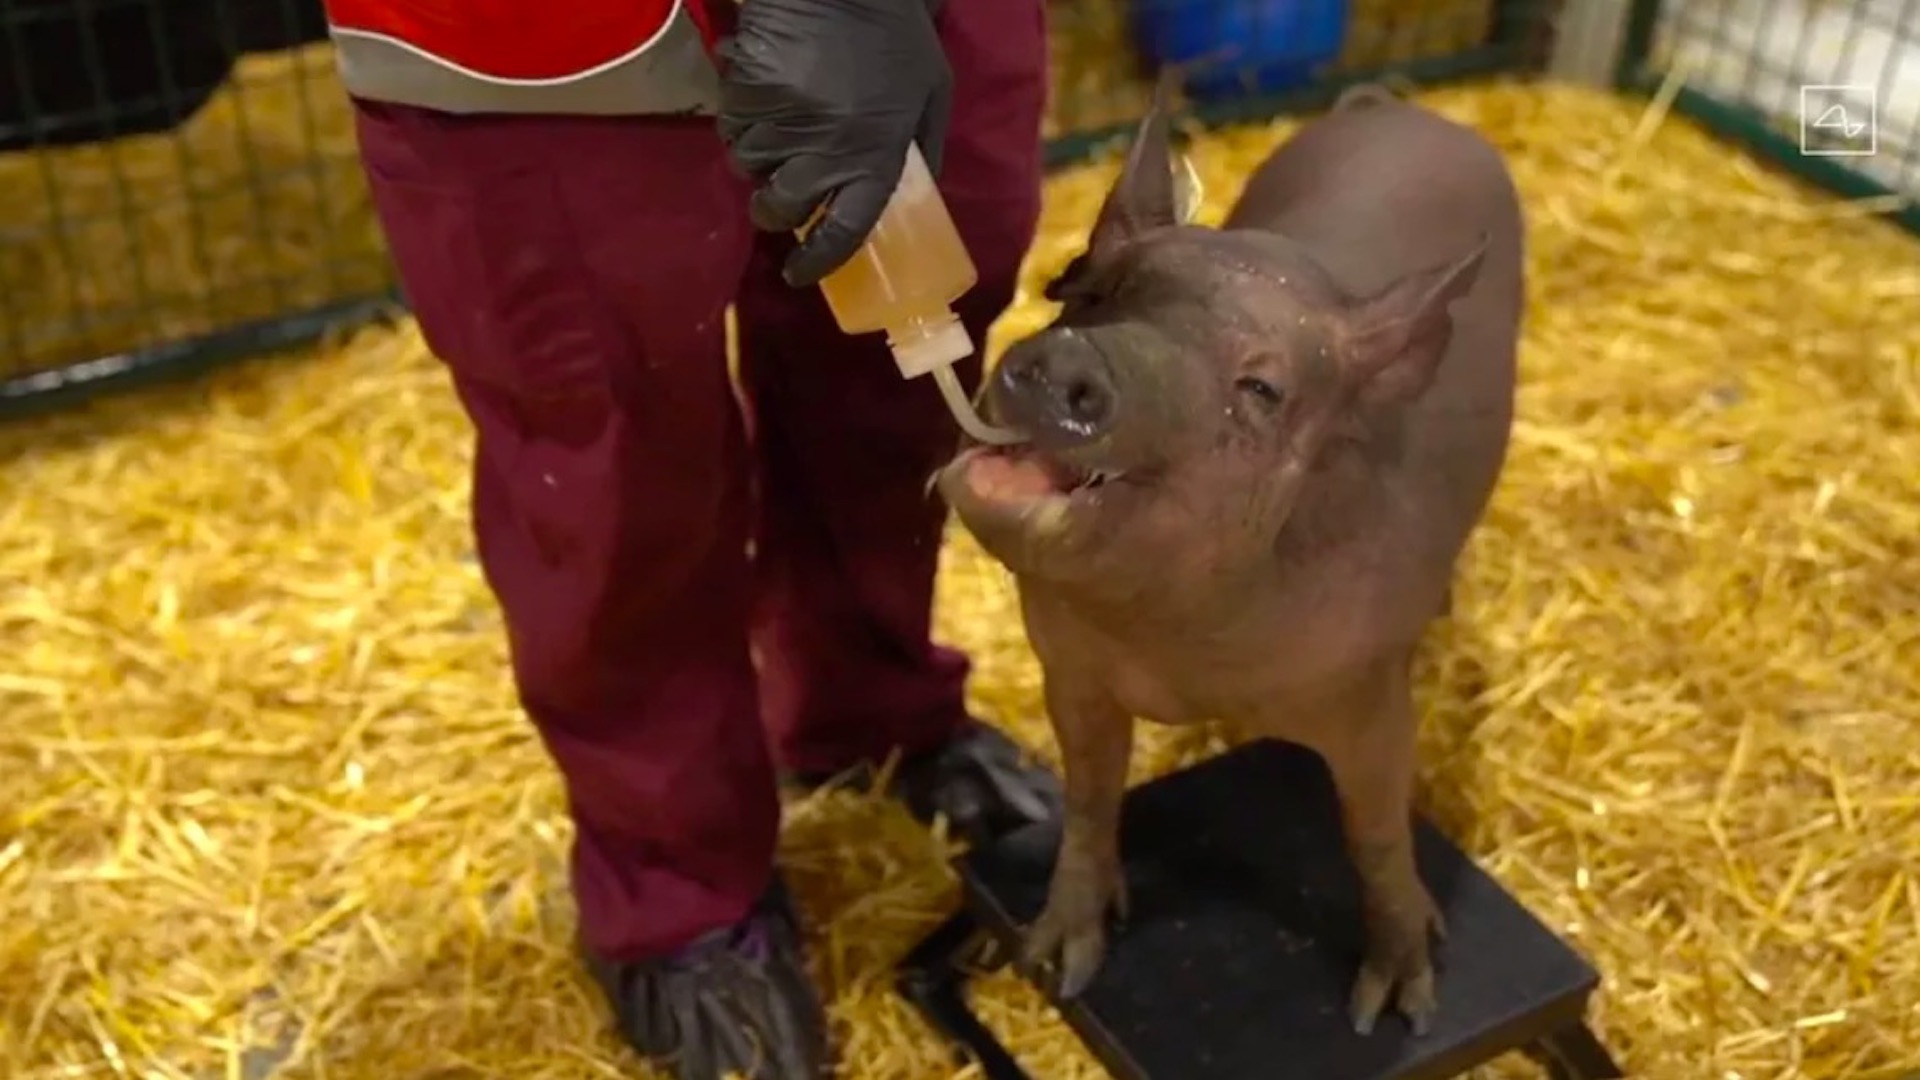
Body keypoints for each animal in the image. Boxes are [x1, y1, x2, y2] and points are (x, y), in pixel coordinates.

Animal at [932, 80, 1523, 1036]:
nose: (1066, 360)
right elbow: (1090, 798)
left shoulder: (1367, 698)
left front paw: (1394, 1009)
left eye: (1262, 388)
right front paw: (1059, 963)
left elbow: (1377, 832)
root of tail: (1402, 109)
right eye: (1095, 294)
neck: (1176, 644)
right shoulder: (1071, 672)